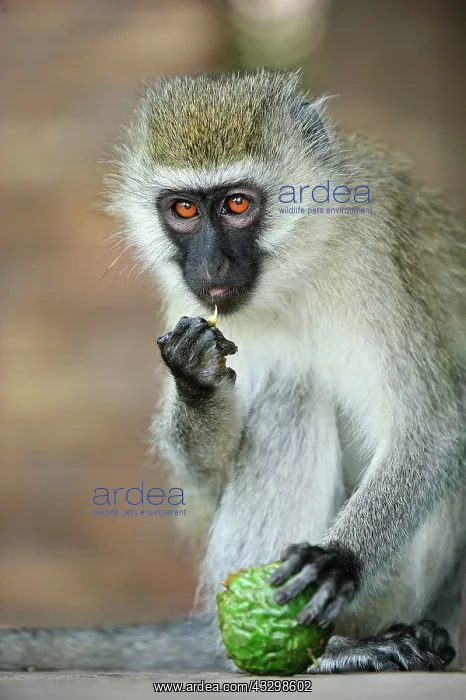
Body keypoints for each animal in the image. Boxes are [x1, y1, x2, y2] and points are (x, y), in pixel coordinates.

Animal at [1, 68, 465, 673]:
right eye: (184, 210)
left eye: (237, 204)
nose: (212, 264)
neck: (299, 269)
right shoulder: (184, 298)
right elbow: (207, 485)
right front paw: (197, 381)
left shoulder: (371, 261)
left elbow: (432, 428)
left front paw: (337, 559)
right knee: (292, 394)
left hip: (401, 588)